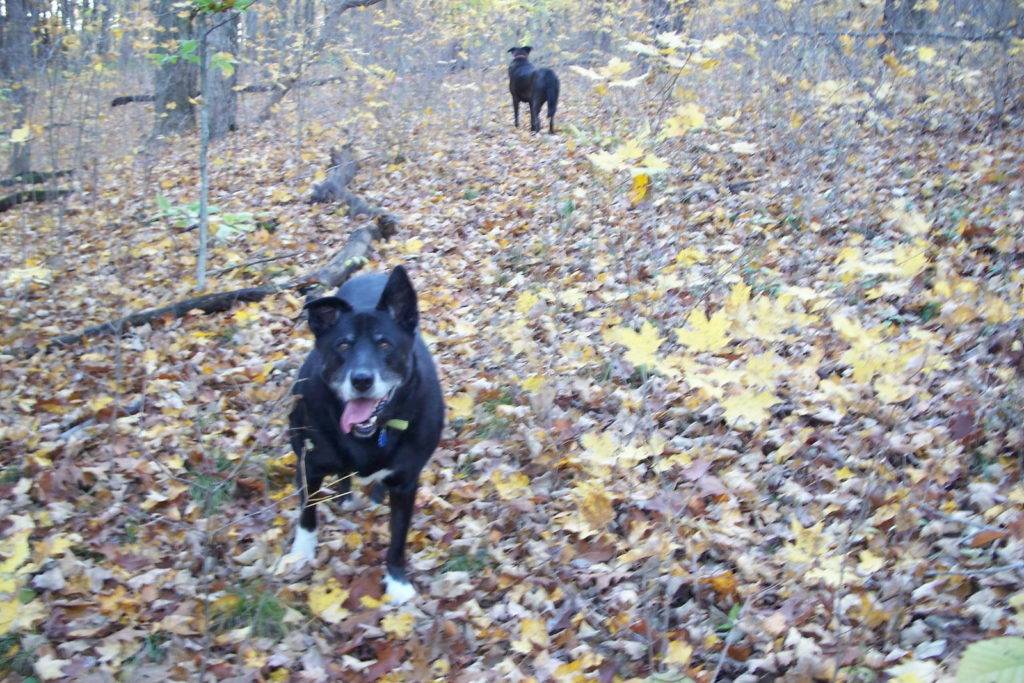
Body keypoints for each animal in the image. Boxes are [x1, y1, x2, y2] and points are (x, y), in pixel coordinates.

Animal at [288, 266, 448, 602]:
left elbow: (398, 535)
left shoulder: (406, 481)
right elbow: (307, 515)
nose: (361, 380)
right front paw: (301, 554)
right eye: (343, 345)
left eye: (384, 344)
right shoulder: (309, 464)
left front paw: (397, 580)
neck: (370, 433)